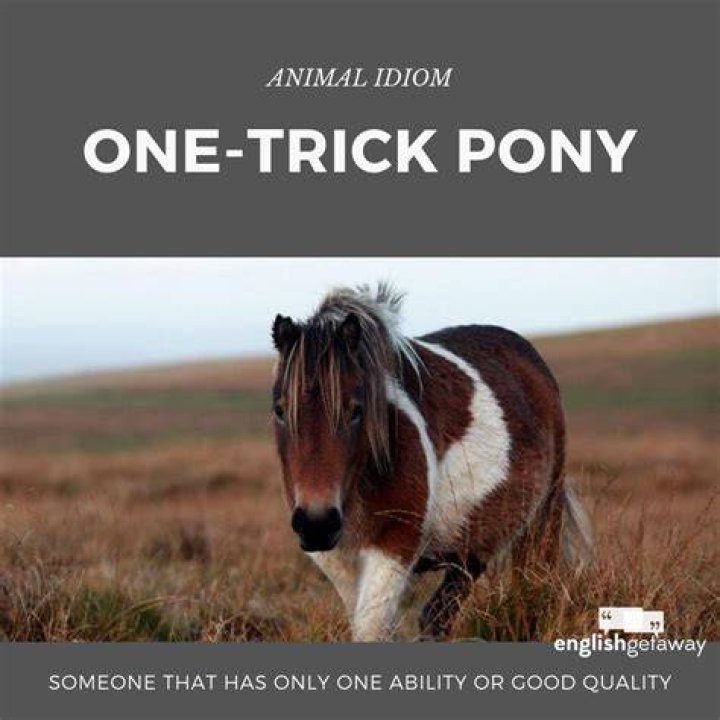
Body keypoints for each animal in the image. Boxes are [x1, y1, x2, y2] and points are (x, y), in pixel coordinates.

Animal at [271, 283, 590, 641]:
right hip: (470, 549)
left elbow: (372, 628)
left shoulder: (394, 546)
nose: (317, 523)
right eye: (279, 410)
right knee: (438, 615)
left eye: (356, 410)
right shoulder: (337, 558)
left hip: (539, 520)